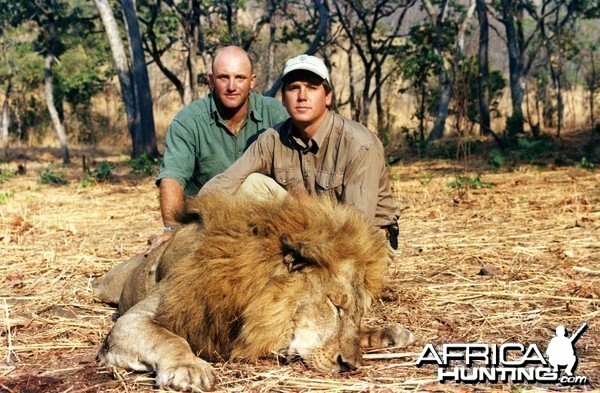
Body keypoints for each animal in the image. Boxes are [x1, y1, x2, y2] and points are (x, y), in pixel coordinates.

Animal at [99, 192, 418, 388]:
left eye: (358, 313)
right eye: (334, 306)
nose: (349, 365)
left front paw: (387, 333)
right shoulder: (132, 321)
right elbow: (169, 338)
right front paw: (189, 368)